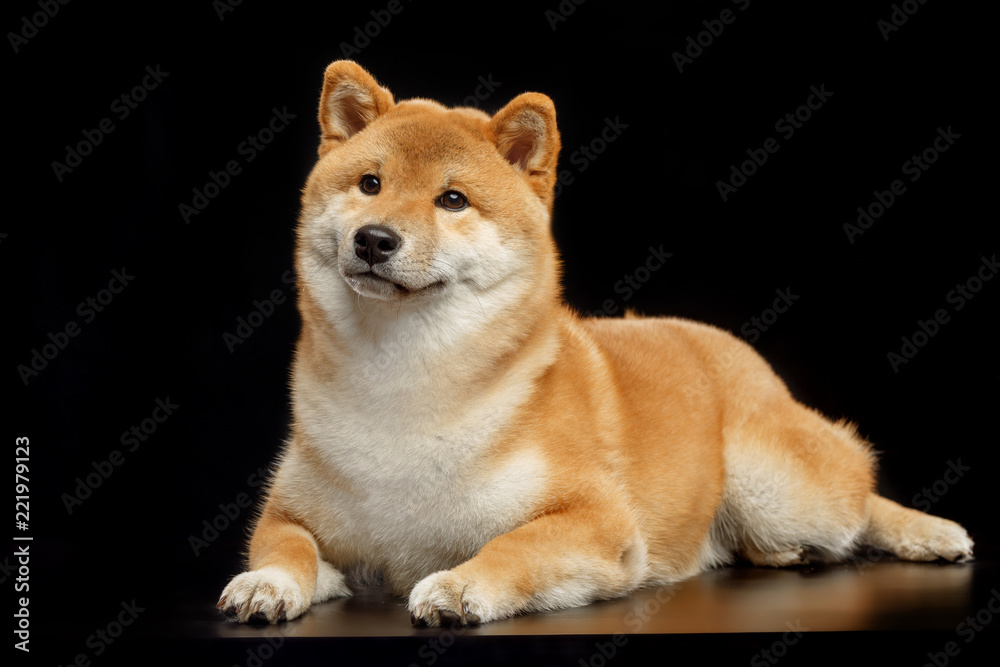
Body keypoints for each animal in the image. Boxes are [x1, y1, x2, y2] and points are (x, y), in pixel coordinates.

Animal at [217, 61, 968, 628]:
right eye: (369, 183)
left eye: (452, 199)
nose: (374, 238)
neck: (401, 382)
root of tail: (739, 350)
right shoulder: (290, 510)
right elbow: (285, 546)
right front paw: (266, 583)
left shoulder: (597, 519)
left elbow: (514, 545)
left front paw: (460, 584)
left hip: (778, 484)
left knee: (858, 490)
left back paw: (926, 532)